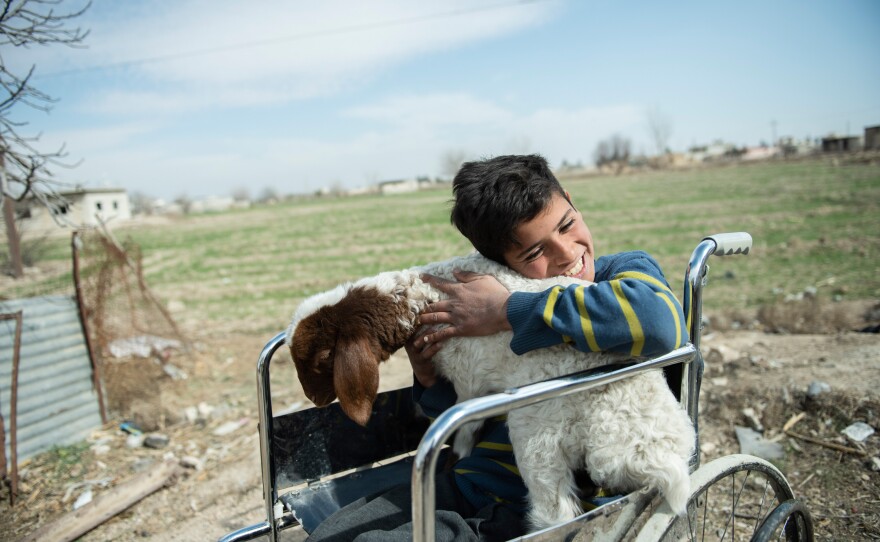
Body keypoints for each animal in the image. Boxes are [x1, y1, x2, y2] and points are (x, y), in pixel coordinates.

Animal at [288, 254, 696, 532]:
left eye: (323, 358)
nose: (314, 400)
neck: (423, 297)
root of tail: (654, 455)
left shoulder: (469, 383)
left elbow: (464, 434)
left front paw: (454, 460)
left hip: (537, 434)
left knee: (556, 513)